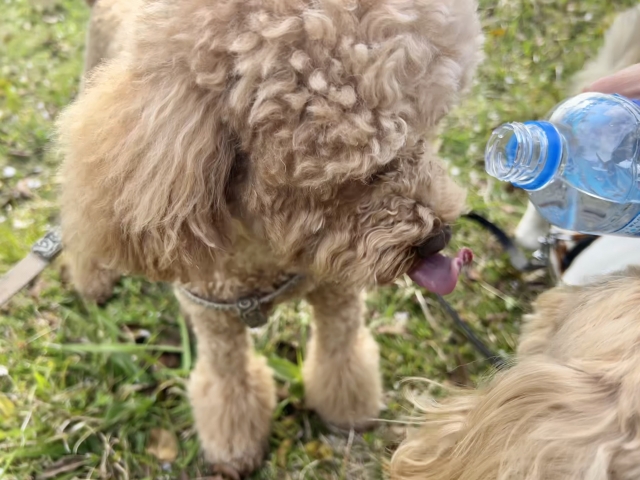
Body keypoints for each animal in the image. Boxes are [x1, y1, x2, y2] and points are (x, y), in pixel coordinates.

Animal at [58, 0, 480, 472]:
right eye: (362, 175)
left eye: (426, 135)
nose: (438, 239)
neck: (269, 251)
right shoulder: (215, 319)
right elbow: (230, 384)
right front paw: (235, 448)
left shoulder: (337, 292)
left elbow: (340, 351)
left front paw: (349, 409)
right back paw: (93, 280)